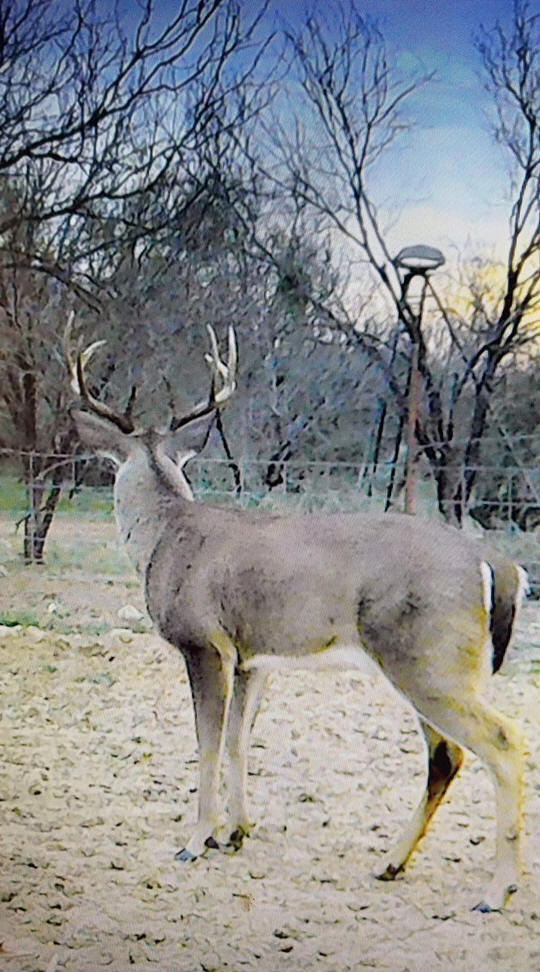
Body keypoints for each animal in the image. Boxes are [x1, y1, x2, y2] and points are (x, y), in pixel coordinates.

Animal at [66, 325, 528, 913]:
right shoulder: (252, 658)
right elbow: (239, 739)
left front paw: (195, 841)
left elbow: (207, 741)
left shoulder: (204, 643)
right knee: (447, 756)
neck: (164, 538)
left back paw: (496, 890)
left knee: (501, 742)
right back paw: (391, 864)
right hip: (437, 666)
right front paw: (235, 833)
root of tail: (497, 565)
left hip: (430, 662)